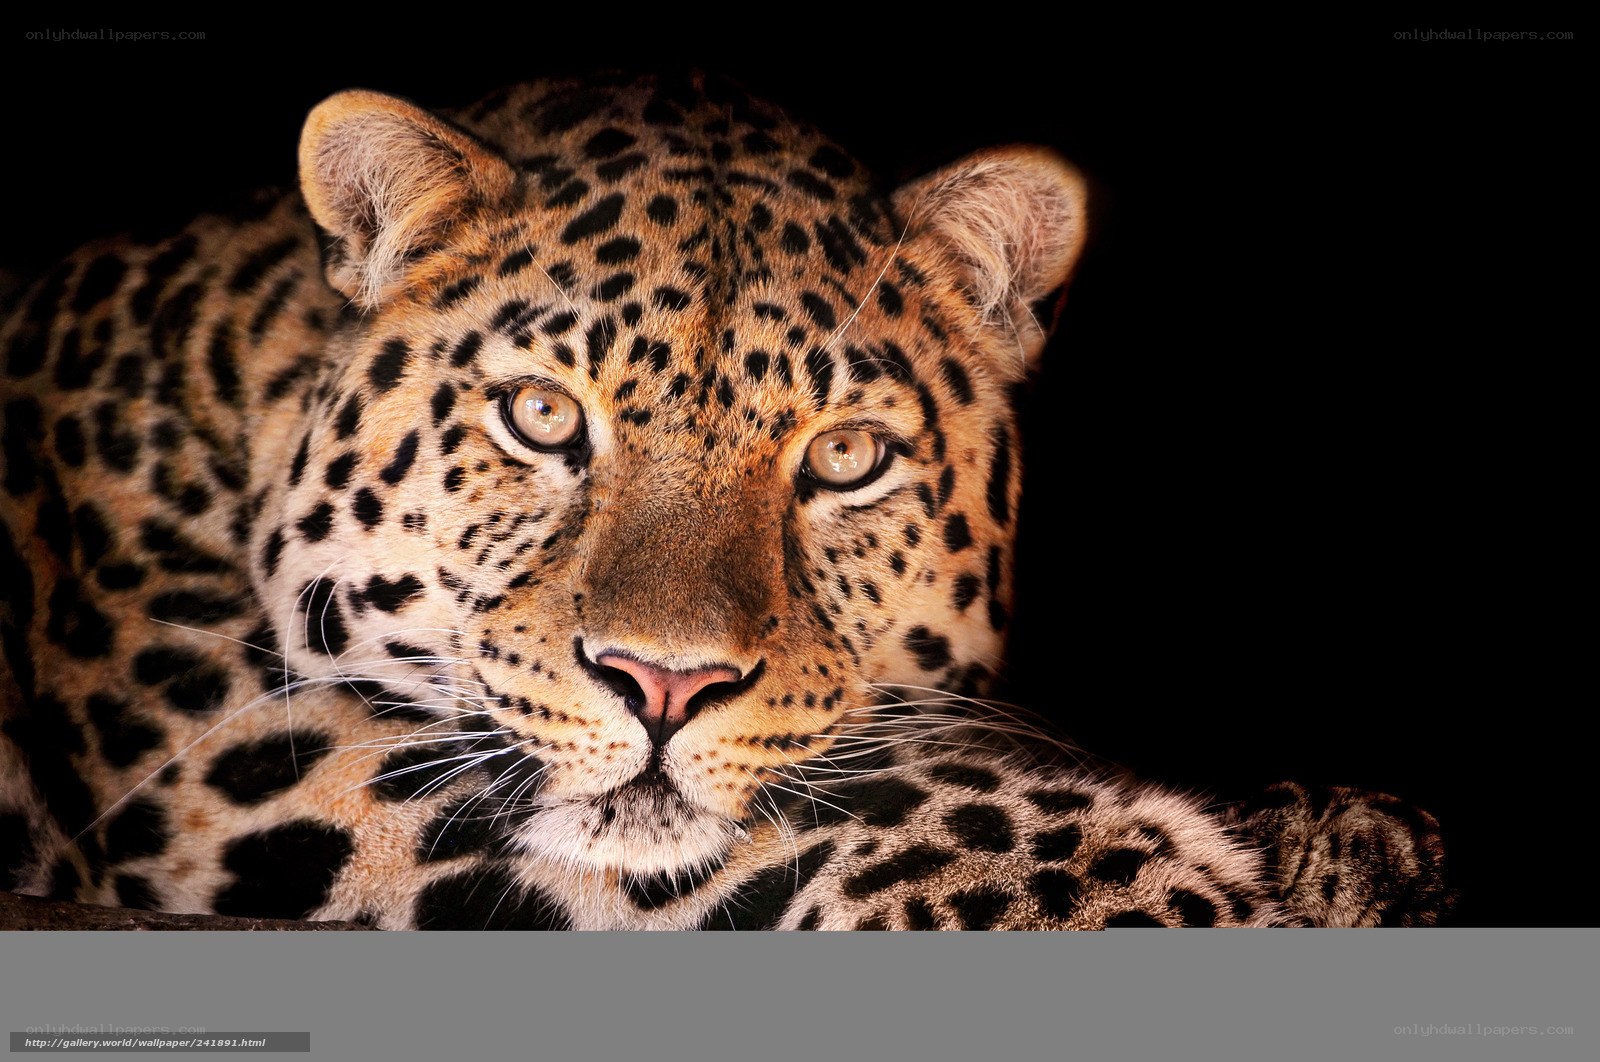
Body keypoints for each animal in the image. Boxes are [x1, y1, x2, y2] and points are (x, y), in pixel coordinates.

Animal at [0, 72, 1449, 930]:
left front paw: (1343, 839)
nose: (664, 683)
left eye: (845, 457)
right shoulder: (230, 747)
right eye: (542, 417)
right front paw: (1118, 887)